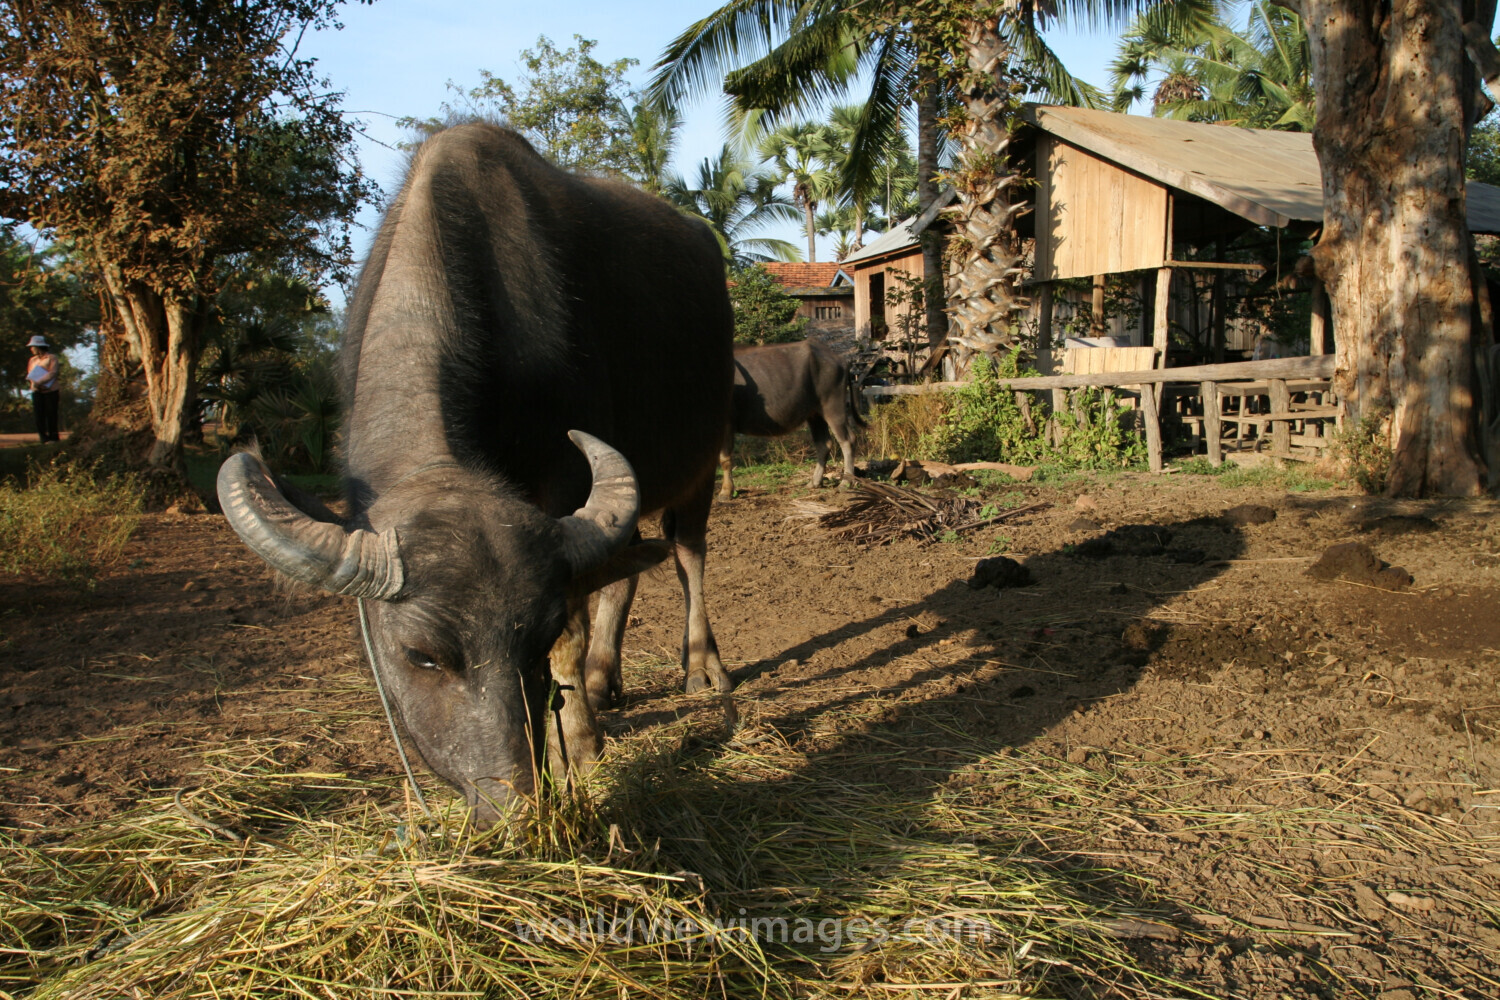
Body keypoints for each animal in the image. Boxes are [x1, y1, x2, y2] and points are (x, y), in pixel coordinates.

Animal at [217, 123, 734, 826]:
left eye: (536, 640)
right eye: (421, 655)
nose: (513, 803)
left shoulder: (566, 488)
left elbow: (575, 632)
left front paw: (579, 749)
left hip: (703, 459)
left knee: (687, 554)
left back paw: (701, 667)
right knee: (623, 571)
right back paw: (604, 680)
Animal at [720, 340, 867, 497]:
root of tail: (840, 360)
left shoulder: (727, 424)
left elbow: (725, 459)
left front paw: (726, 491)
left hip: (833, 408)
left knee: (848, 440)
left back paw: (845, 483)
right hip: (815, 414)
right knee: (824, 443)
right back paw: (814, 482)